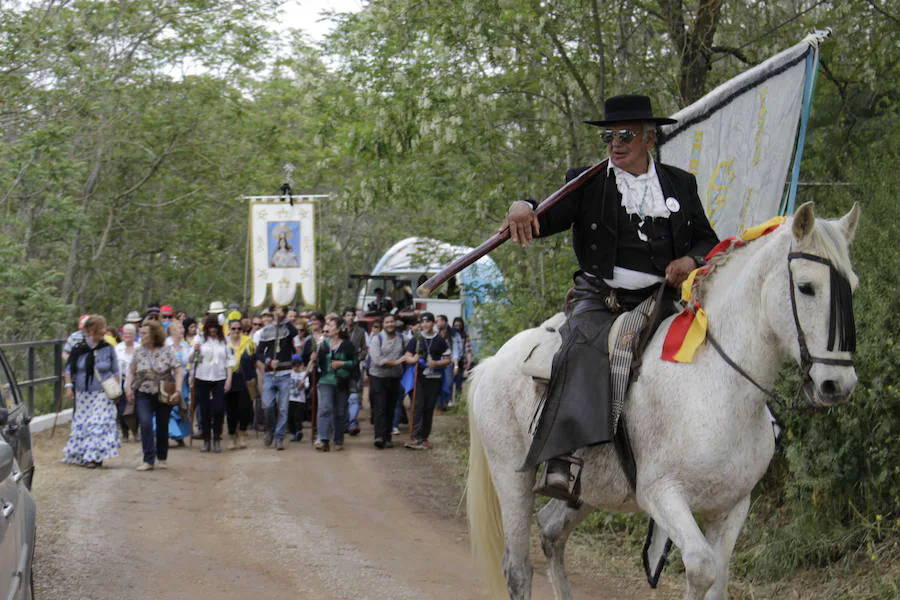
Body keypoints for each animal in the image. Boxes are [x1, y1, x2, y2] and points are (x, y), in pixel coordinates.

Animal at [468, 203, 860, 600]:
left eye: (852, 287)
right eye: (806, 287)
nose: (837, 385)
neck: (715, 385)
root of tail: (492, 363)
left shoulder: (732, 507)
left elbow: (718, 580)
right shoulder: (663, 495)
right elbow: (701, 569)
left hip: (589, 491)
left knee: (551, 530)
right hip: (511, 476)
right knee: (518, 567)